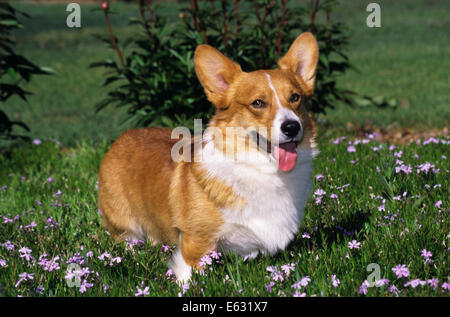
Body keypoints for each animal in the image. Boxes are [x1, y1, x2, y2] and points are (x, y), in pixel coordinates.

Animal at [98, 32, 318, 280]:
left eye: (295, 97)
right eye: (258, 103)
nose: (292, 127)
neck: (264, 170)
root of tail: (122, 137)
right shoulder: (196, 244)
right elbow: (190, 275)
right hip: (124, 224)